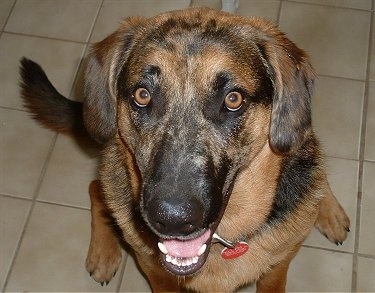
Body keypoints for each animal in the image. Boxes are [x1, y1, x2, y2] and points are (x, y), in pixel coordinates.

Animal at [19, 8, 350, 290]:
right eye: (142, 95)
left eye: (233, 99)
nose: (172, 219)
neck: (226, 239)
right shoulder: (157, 275)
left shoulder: (276, 269)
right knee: (94, 189)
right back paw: (103, 253)